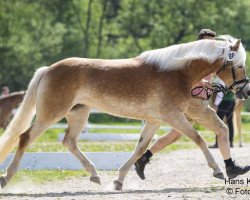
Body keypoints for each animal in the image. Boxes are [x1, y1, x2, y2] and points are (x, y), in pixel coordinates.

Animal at [0, 36, 248, 191]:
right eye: (240, 65)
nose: (245, 91)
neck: (176, 73)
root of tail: (49, 69)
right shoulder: (173, 117)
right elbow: (198, 139)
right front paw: (217, 170)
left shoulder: (154, 120)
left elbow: (140, 148)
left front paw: (118, 180)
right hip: (50, 114)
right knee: (25, 137)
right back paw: (7, 177)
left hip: (78, 114)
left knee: (69, 142)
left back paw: (95, 175)